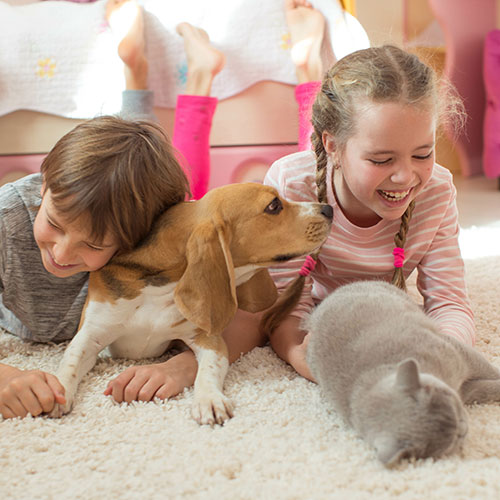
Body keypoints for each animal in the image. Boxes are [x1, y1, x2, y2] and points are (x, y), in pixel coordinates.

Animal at [48, 184, 334, 426]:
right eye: (274, 205)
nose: (328, 209)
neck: (161, 288)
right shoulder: (91, 334)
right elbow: (71, 360)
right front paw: (58, 391)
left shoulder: (208, 338)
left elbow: (208, 369)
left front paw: (209, 399)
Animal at [306, 280, 500, 466]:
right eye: (453, 440)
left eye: (454, 408)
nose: (464, 428)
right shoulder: (464, 390)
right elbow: (485, 390)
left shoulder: (459, 353)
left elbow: (488, 369)